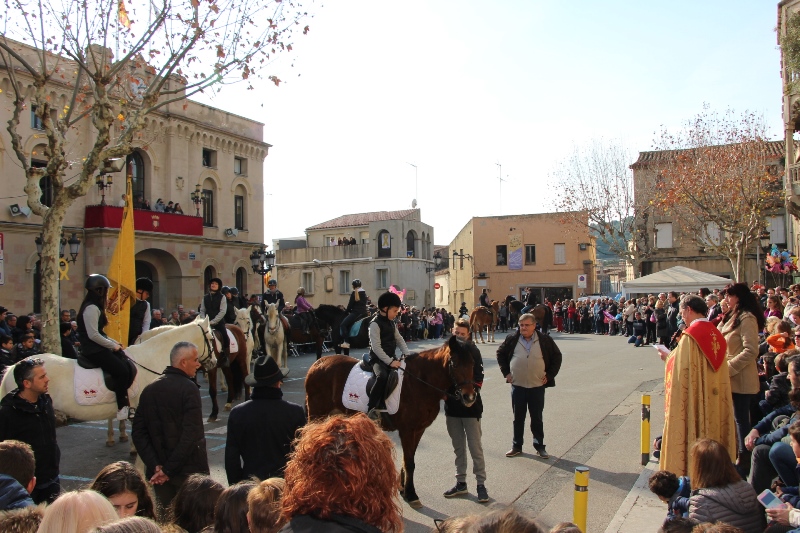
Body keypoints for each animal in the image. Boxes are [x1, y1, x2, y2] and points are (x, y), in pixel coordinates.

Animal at [304, 336, 478, 508]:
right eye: (454, 364)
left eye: (472, 363)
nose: (469, 397)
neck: (420, 383)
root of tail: (317, 363)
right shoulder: (407, 430)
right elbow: (409, 463)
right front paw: (411, 494)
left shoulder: (418, 430)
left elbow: (408, 459)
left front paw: (403, 489)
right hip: (317, 414)